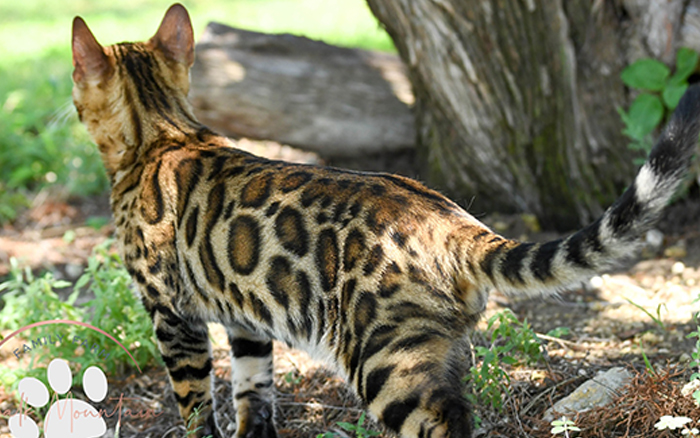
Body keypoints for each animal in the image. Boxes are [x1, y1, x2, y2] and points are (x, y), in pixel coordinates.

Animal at [71, 3, 700, 438]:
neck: (165, 133)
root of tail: (451, 218)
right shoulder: (246, 322)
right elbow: (255, 397)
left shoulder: (172, 315)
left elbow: (197, 408)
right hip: (435, 350)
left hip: (385, 360)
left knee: (441, 424)